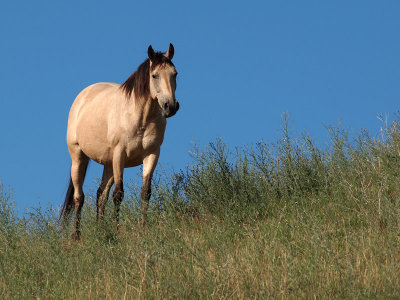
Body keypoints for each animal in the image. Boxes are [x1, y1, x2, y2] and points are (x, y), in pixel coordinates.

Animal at [60, 43, 180, 238]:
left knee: (101, 195)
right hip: (79, 157)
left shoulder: (152, 154)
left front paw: (143, 228)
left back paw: (101, 230)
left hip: (108, 164)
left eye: (175, 74)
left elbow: (145, 192)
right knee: (79, 197)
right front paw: (117, 231)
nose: (170, 107)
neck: (141, 117)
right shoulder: (120, 154)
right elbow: (118, 194)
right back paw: (76, 237)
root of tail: (82, 97)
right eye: (154, 75)